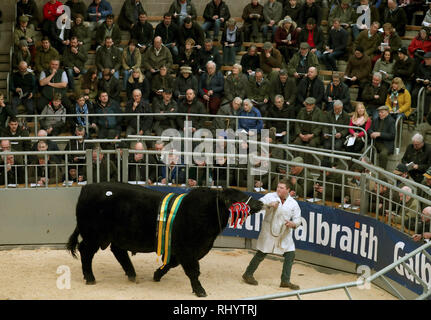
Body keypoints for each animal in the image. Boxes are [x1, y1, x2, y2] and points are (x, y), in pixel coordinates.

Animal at [67, 182, 264, 298]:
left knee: (118, 251)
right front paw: (200, 290)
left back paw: (132, 274)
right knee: (86, 252)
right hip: (93, 235)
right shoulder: (187, 249)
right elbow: (193, 271)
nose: (260, 203)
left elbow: (170, 264)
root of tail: (88, 188)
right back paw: (90, 277)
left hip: (115, 235)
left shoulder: (180, 249)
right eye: (238, 198)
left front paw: (157, 274)